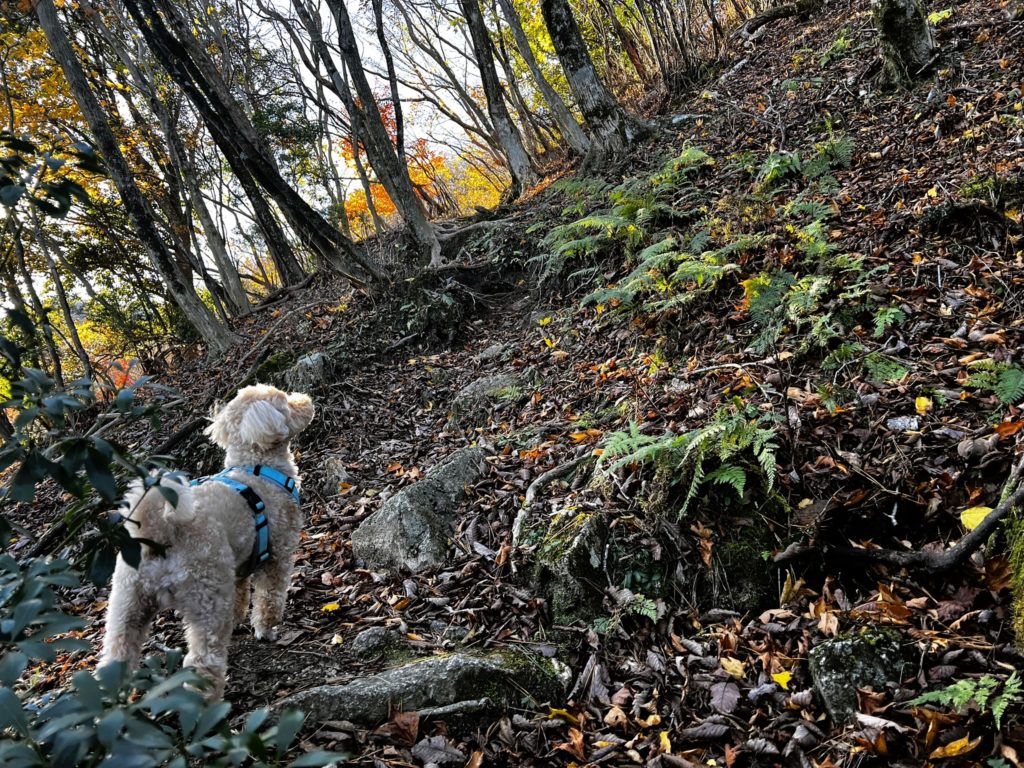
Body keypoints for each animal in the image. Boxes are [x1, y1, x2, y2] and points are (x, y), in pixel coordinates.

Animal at [99, 384, 314, 697]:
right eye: (285, 402)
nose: (306, 400)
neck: (255, 466)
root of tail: (159, 532)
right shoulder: (278, 555)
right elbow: (269, 598)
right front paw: (267, 629)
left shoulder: (239, 563)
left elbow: (240, 595)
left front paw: (239, 619)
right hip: (207, 598)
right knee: (203, 659)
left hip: (127, 603)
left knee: (116, 655)